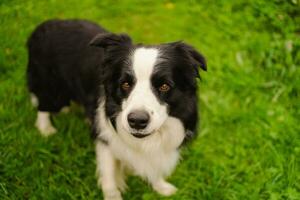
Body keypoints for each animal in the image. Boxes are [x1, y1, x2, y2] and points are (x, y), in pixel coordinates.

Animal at [26, 19, 206, 200]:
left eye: (164, 86)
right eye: (125, 84)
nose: (137, 121)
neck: (145, 141)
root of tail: (44, 25)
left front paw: (161, 187)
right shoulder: (105, 138)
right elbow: (109, 173)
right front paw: (113, 194)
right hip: (50, 83)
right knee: (43, 103)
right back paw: (45, 128)